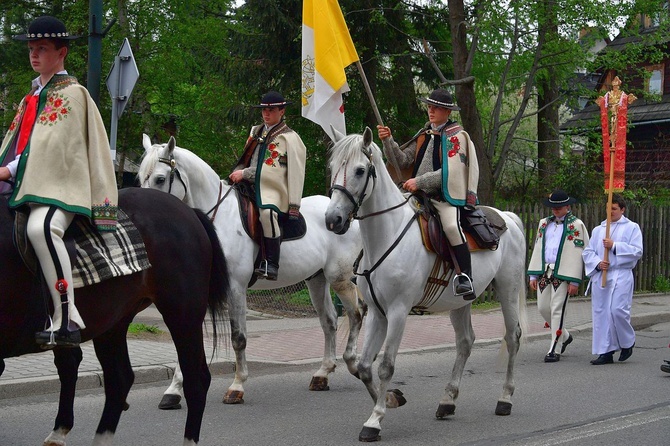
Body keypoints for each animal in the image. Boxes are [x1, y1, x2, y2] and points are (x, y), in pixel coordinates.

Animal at [138, 133, 368, 408]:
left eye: (160, 179)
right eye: (140, 178)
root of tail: (342, 216)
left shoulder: (235, 289)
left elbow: (239, 337)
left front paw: (237, 386)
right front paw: (173, 390)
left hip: (339, 277)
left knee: (356, 312)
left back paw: (352, 362)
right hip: (316, 280)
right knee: (329, 321)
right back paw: (322, 373)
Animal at [326, 127, 532, 440]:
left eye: (360, 170)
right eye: (332, 167)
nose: (332, 219)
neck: (386, 234)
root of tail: (506, 217)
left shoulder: (398, 311)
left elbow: (385, 366)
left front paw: (375, 420)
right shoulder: (377, 312)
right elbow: (363, 366)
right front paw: (389, 400)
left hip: (508, 289)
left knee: (512, 337)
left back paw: (505, 399)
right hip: (460, 302)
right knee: (465, 342)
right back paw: (447, 400)